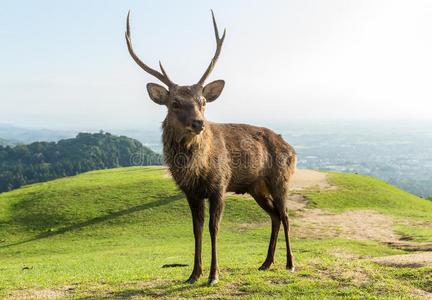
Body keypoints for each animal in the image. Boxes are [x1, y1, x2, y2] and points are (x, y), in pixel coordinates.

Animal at [123, 9, 296, 286]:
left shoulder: (219, 185)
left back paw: (290, 263)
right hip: (255, 186)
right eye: (174, 103)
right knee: (275, 216)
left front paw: (214, 275)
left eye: (202, 101)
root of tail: (292, 149)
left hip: (280, 178)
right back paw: (266, 263)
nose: (199, 123)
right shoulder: (191, 193)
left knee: (286, 215)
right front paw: (194, 274)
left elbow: (214, 229)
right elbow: (196, 230)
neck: (196, 170)